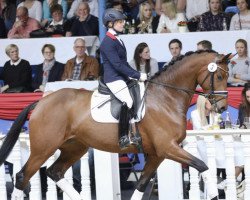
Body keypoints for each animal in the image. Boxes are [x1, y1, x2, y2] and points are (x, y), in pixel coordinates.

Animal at [0, 50, 229, 200]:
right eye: (218, 75)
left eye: (226, 76)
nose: (223, 107)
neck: (166, 97)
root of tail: (42, 101)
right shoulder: (167, 148)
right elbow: (203, 166)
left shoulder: (158, 153)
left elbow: (141, 184)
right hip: (43, 148)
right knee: (22, 176)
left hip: (75, 147)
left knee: (54, 172)